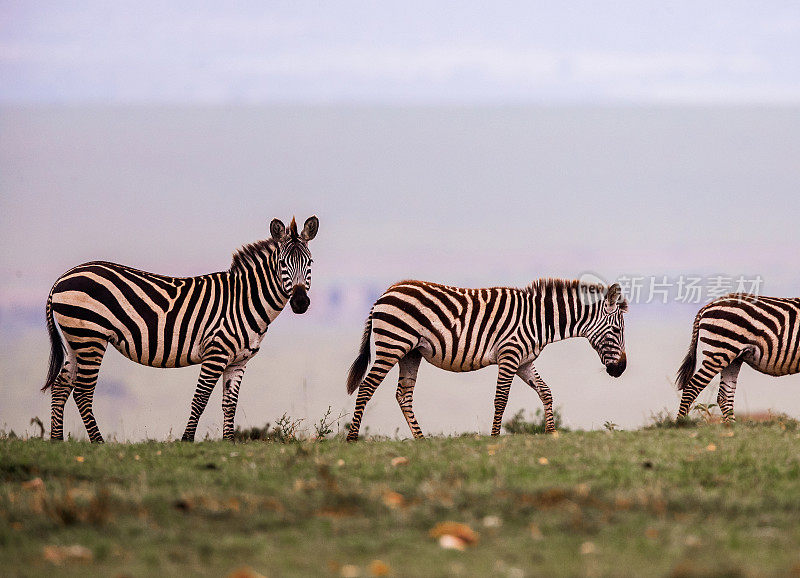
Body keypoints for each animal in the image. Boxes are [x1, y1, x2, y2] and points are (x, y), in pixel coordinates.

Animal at [39, 216, 316, 440]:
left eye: (310, 262)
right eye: (282, 263)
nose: (301, 303)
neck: (243, 300)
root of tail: (62, 278)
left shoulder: (238, 361)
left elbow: (229, 404)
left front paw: (229, 442)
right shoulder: (215, 353)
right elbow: (200, 399)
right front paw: (186, 440)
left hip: (76, 340)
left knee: (62, 385)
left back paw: (57, 441)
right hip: (91, 338)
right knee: (83, 392)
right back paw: (98, 443)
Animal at [342, 276, 624, 438]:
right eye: (617, 330)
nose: (621, 369)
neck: (539, 321)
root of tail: (384, 294)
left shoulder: (524, 362)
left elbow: (546, 391)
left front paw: (551, 432)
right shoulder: (509, 354)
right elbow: (501, 399)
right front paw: (495, 437)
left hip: (410, 353)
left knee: (403, 395)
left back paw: (421, 440)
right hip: (392, 344)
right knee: (366, 388)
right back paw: (352, 439)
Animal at [676, 290, 800, 420]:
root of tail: (709, 305)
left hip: (732, 358)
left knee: (724, 396)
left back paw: (732, 425)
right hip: (719, 352)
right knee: (692, 387)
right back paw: (682, 422)